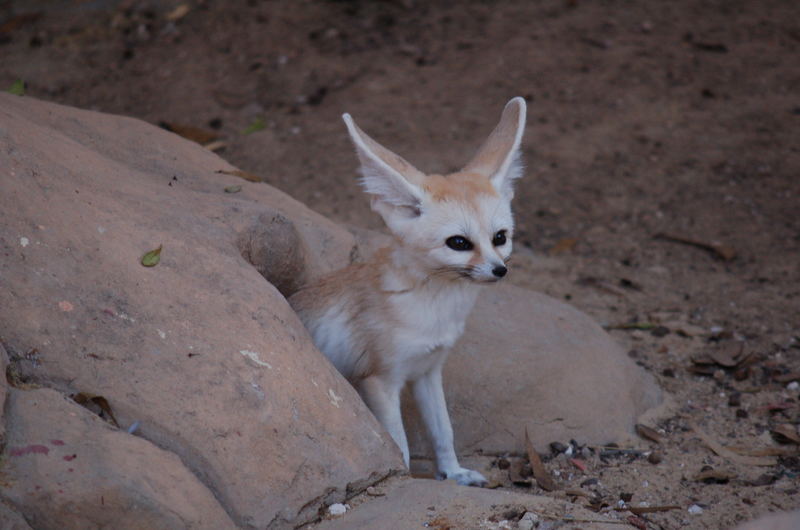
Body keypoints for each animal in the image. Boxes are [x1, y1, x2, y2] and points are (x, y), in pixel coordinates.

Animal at [290, 97, 528, 484]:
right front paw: (403, 479)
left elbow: (443, 431)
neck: (435, 308)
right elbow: (397, 442)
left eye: (500, 238)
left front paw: (453, 473)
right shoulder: (380, 380)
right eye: (459, 243)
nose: (499, 270)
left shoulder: (428, 371)